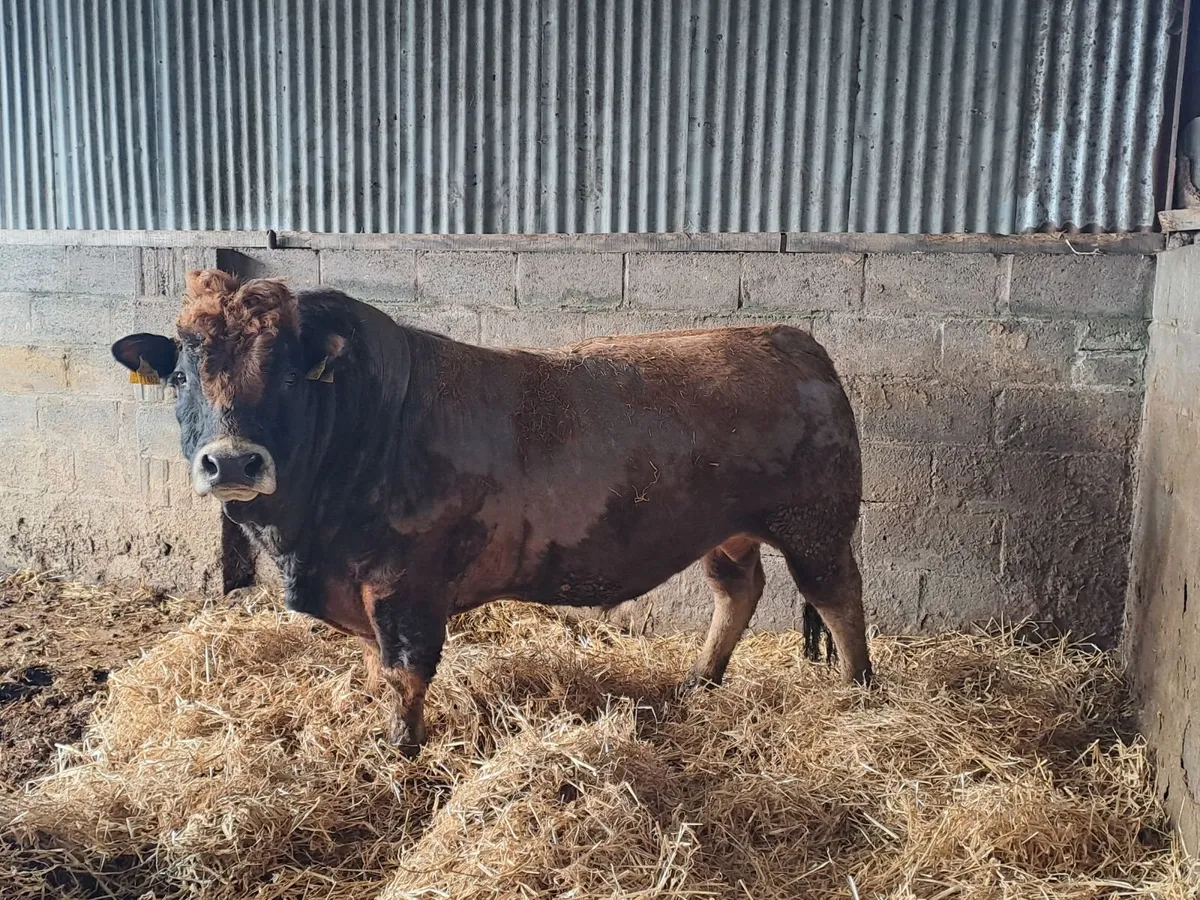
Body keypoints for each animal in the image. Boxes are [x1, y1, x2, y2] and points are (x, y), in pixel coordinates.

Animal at [112, 269, 871, 754]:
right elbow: (373, 665)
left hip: (816, 523)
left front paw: (401, 749)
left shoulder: (406, 583)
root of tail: (791, 339)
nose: (233, 462)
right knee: (737, 590)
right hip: (728, 530)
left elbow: (404, 671)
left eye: (292, 376)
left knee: (838, 598)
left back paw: (858, 688)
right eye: (179, 374)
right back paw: (700, 680)